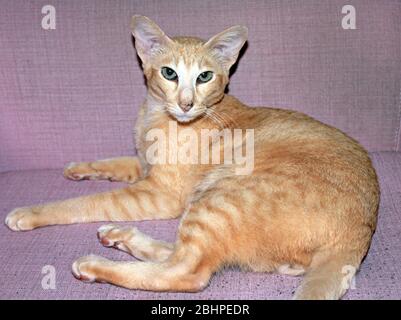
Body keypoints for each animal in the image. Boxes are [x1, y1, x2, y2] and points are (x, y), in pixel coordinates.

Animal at [3, 15, 378, 300]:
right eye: (169, 73)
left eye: (204, 76)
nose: (186, 104)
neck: (157, 117)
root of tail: (358, 233)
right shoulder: (143, 166)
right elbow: (112, 163)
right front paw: (77, 168)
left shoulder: (158, 194)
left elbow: (82, 204)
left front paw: (28, 213)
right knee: (178, 253)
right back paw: (121, 237)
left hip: (218, 201)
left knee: (186, 270)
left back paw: (96, 264)